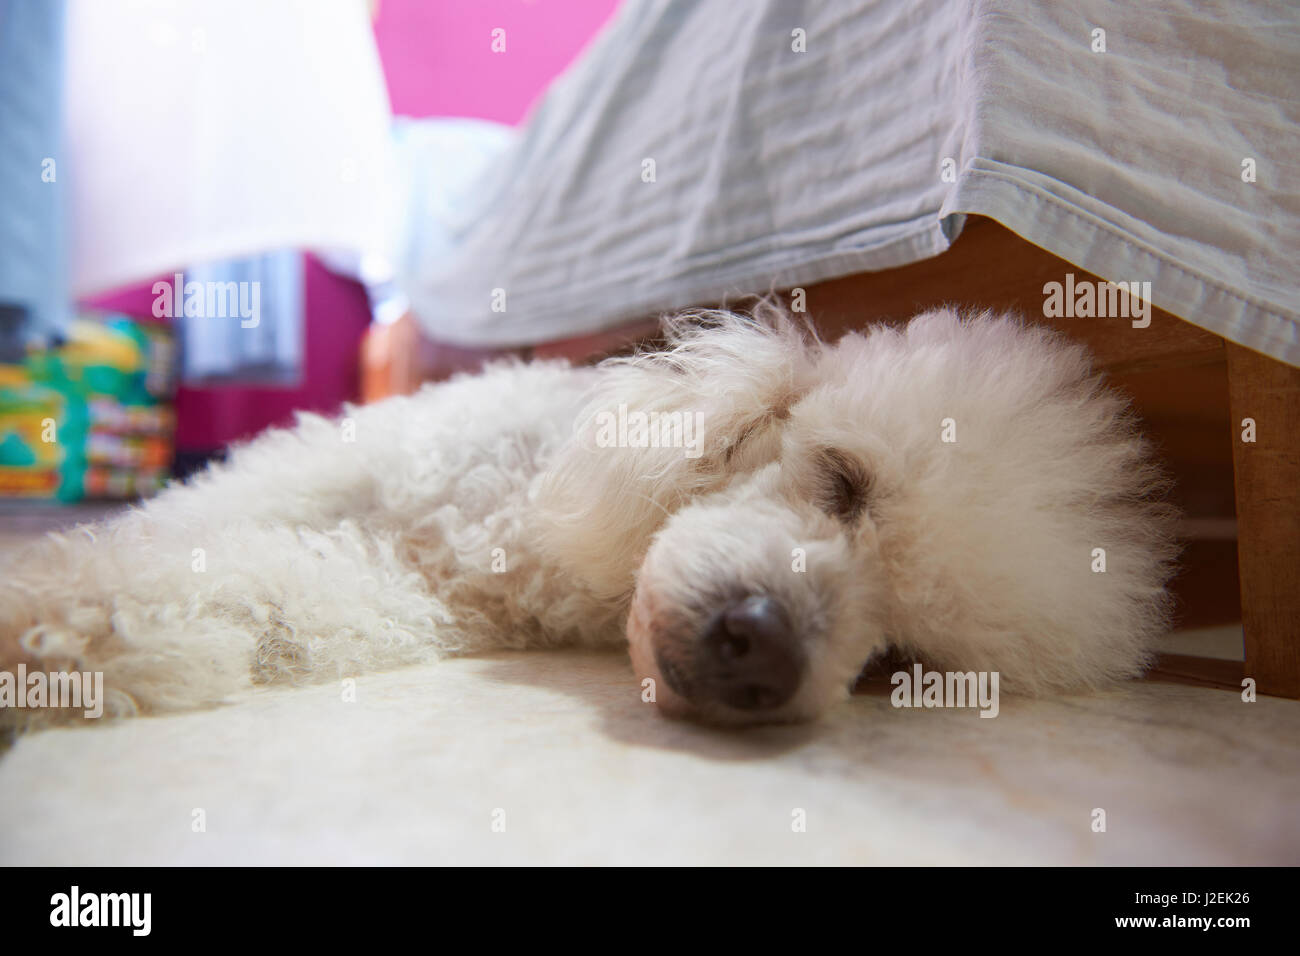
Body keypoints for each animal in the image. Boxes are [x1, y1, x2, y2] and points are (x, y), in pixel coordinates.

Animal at [0, 306, 1180, 733]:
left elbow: (273, 591)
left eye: (902, 658)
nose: (761, 650)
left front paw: (70, 640)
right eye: (842, 481)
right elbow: (198, 519)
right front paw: (48, 604)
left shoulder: (410, 600)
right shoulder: (336, 467)